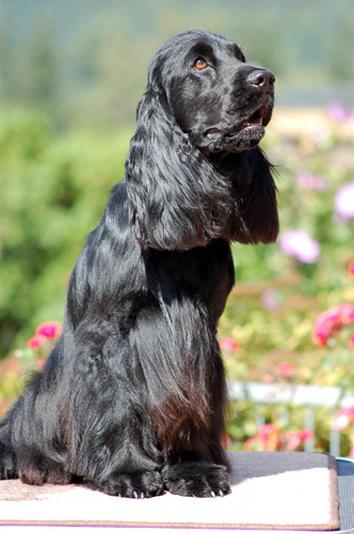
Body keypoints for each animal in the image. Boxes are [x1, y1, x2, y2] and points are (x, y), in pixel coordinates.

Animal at [0, 31, 276, 500]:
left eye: (239, 56)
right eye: (200, 64)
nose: (265, 78)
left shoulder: (200, 333)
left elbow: (192, 405)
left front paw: (195, 471)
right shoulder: (107, 333)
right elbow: (115, 403)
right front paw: (128, 472)